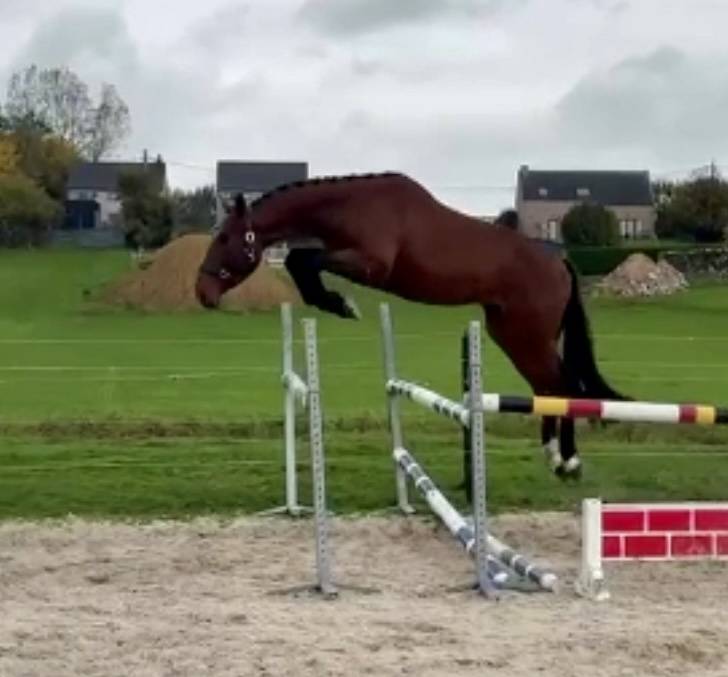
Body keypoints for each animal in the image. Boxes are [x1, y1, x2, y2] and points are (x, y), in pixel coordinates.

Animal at [196, 171, 628, 480]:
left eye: (226, 238)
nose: (202, 292)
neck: (352, 205)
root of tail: (559, 262)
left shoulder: (369, 264)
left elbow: (302, 260)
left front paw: (340, 303)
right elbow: (299, 260)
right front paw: (334, 302)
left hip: (528, 336)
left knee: (562, 385)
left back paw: (569, 462)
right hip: (514, 334)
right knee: (548, 387)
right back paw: (554, 457)